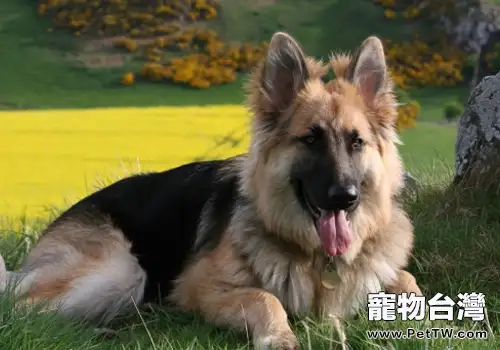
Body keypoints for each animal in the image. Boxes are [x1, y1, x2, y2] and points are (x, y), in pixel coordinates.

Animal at [0, 32, 422, 348]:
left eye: (356, 142)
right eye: (311, 140)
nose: (345, 197)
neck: (316, 258)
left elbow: (408, 281)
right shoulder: (200, 287)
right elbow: (265, 296)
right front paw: (279, 337)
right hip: (122, 270)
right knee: (23, 310)